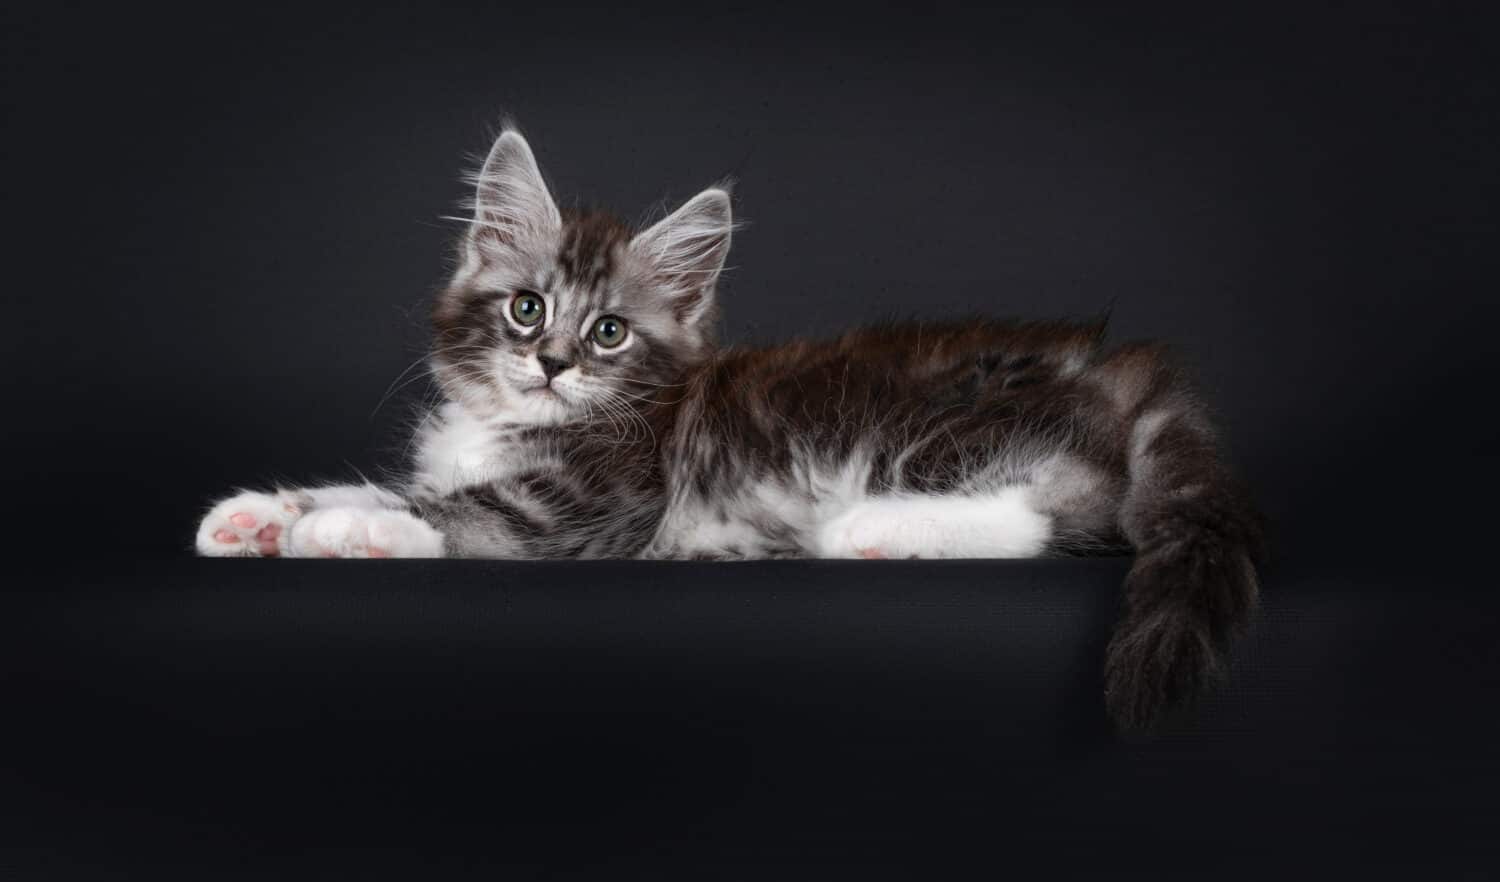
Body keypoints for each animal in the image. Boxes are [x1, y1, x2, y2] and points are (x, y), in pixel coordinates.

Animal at [193, 127, 1260, 726]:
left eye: (609, 331)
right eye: (528, 310)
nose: (552, 364)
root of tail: (1116, 365)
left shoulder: (587, 508)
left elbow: (455, 516)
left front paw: (347, 529)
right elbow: (388, 482)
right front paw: (261, 516)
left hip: (929, 425)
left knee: (1064, 511)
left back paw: (870, 529)